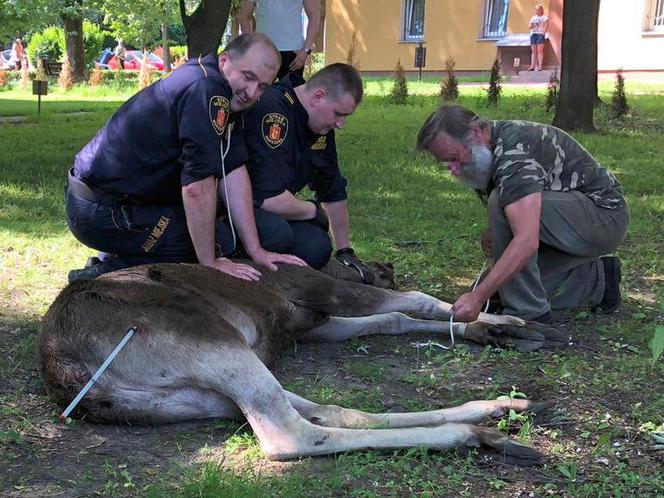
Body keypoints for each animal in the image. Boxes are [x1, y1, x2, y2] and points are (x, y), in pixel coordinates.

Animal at [37, 262, 564, 464]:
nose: (385, 267)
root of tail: (67, 371)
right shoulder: (323, 294)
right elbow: (411, 302)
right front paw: (503, 320)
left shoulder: (315, 323)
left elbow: (393, 317)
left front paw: (495, 329)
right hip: (211, 337)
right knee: (290, 433)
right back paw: (474, 433)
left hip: (190, 394)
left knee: (329, 410)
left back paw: (497, 409)